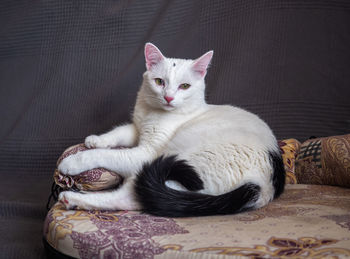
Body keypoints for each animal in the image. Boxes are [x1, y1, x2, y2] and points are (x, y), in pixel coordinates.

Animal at [57, 42, 286, 217]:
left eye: (184, 86)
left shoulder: (146, 153)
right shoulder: (138, 128)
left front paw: (72, 162)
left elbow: (104, 155)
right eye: (159, 82)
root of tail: (265, 187)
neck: (153, 113)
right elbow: (119, 133)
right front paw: (95, 139)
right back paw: (73, 200)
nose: (168, 97)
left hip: (174, 161)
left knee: (131, 198)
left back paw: (71, 197)